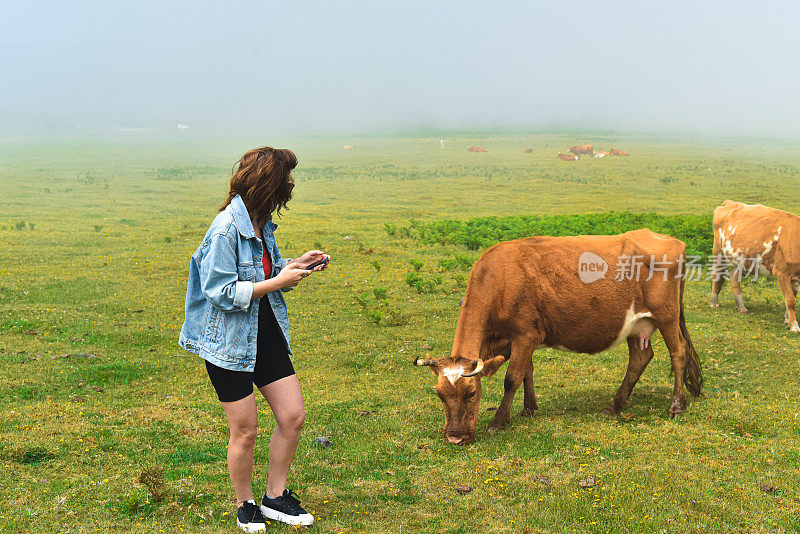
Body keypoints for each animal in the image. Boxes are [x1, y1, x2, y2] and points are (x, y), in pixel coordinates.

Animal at [416, 228, 704, 446]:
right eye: (439, 395)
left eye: (472, 393)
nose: (455, 438)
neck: (500, 278)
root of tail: (669, 239)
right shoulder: (519, 340)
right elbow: (527, 372)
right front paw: (529, 408)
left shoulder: (526, 334)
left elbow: (512, 379)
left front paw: (499, 421)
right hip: (634, 324)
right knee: (641, 357)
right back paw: (615, 405)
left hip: (667, 316)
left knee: (678, 352)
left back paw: (677, 405)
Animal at [712, 202, 800, 332]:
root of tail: (729, 202)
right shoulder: (782, 272)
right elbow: (790, 300)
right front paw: (794, 326)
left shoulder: (794, 276)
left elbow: (792, 297)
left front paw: (788, 320)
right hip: (718, 250)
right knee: (717, 275)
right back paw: (713, 302)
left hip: (738, 257)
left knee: (734, 277)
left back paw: (741, 307)